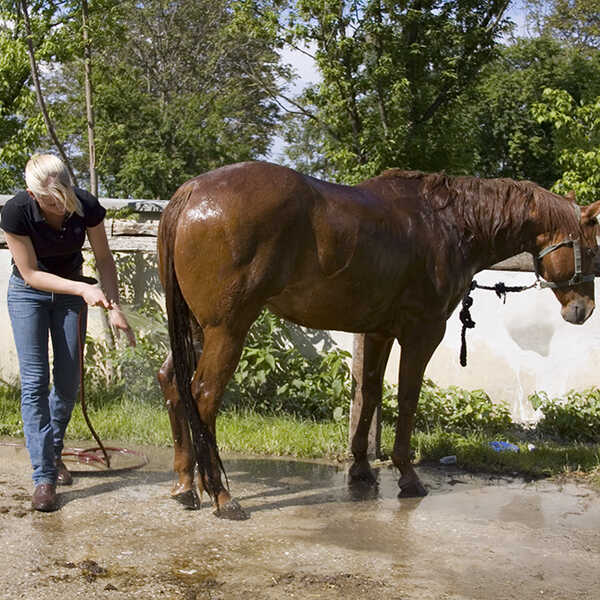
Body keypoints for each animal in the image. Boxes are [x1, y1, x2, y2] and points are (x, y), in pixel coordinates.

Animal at [157, 162, 596, 516]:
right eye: (592, 250)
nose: (583, 310)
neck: (450, 225)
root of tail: (191, 192)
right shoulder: (423, 332)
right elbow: (407, 399)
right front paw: (408, 476)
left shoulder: (378, 332)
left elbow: (368, 394)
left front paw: (361, 470)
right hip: (228, 329)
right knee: (204, 396)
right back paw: (221, 496)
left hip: (196, 328)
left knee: (174, 384)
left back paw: (185, 486)